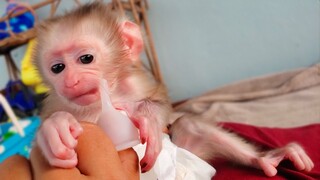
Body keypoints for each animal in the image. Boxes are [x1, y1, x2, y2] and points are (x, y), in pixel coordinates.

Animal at [33, 1, 171, 173]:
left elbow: (161, 102)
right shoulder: (55, 102)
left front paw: (148, 117)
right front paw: (55, 126)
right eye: (57, 68)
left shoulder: (135, 84)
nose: (71, 81)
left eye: (86, 58)